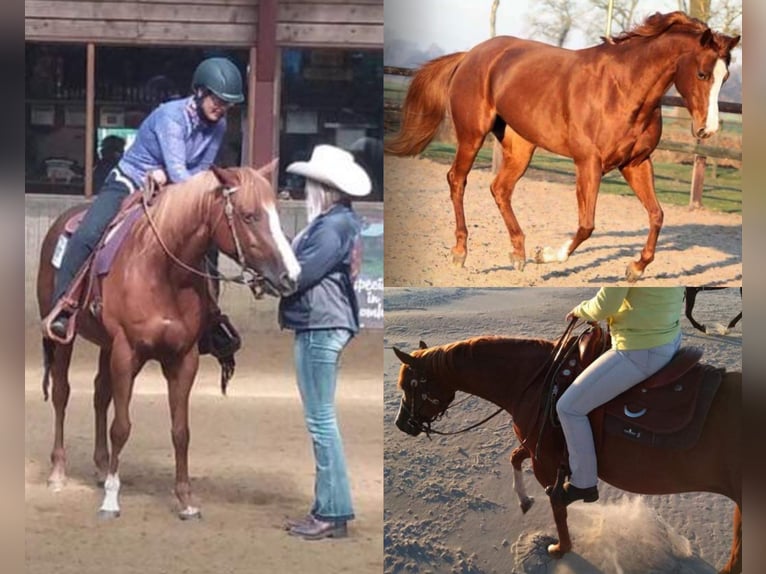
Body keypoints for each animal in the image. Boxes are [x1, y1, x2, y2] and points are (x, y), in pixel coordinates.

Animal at [36, 162, 301, 519]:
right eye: (249, 216)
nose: (292, 275)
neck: (161, 271)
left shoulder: (182, 358)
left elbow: (180, 431)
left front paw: (186, 500)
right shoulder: (127, 352)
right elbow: (121, 426)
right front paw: (111, 500)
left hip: (107, 346)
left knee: (100, 394)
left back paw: (102, 467)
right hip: (66, 338)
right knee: (62, 394)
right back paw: (58, 473)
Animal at [385, 12, 740, 281]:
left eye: (725, 77)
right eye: (702, 74)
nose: (707, 130)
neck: (622, 90)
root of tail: (471, 55)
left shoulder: (637, 163)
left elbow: (656, 215)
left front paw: (636, 268)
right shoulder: (588, 164)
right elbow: (587, 225)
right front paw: (546, 255)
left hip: (521, 145)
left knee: (500, 188)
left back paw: (518, 254)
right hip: (472, 134)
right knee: (458, 180)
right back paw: (461, 253)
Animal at [392, 333, 742, 574]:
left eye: (409, 385)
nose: (400, 424)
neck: (534, 381)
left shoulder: (545, 461)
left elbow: (558, 505)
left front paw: (560, 547)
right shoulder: (538, 447)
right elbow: (514, 458)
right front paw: (524, 499)